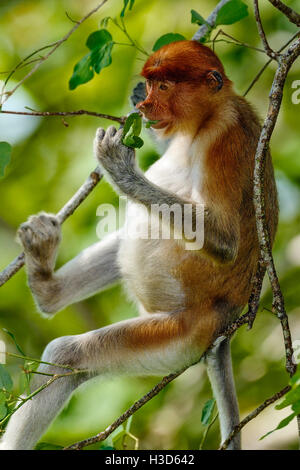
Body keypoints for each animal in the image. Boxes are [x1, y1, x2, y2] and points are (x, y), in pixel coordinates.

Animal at [0, 41, 278, 452]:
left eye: (164, 87)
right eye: (150, 85)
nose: (145, 105)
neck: (204, 120)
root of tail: (226, 317)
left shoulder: (226, 134)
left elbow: (225, 242)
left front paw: (119, 167)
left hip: (177, 335)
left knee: (69, 355)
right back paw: (47, 284)